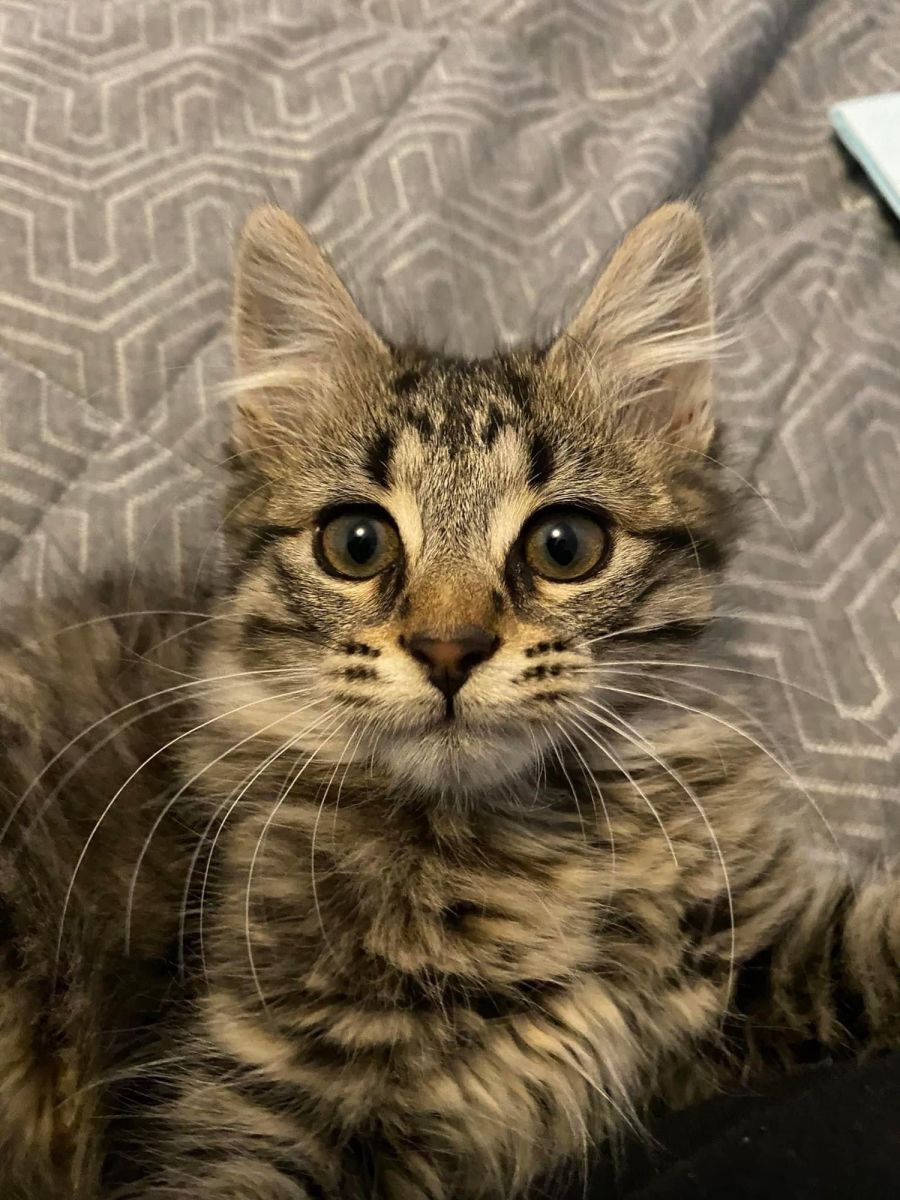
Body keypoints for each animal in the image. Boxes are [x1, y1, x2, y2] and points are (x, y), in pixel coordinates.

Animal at [0, 202, 897, 1200]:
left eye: (565, 545)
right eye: (355, 544)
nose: (448, 649)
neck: (521, 844)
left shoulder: (761, 965)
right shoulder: (240, 1096)